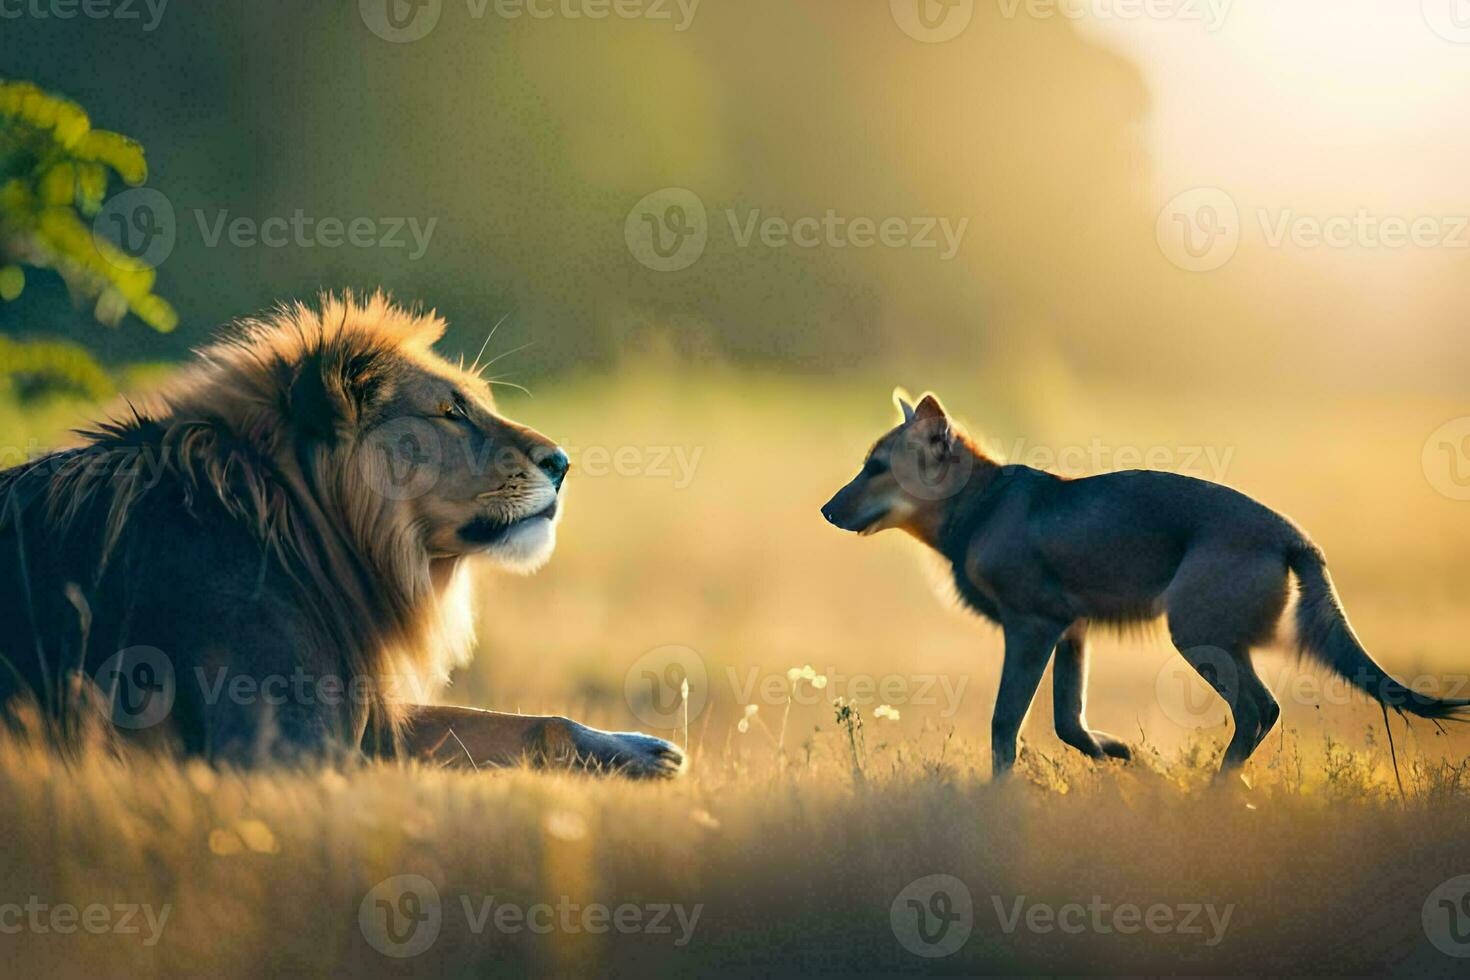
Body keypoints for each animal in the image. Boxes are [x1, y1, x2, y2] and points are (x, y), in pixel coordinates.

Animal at [0, 295, 685, 775]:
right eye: (452, 412)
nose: (563, 463)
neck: (305, 535)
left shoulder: (374, 716)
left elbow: (534, 724)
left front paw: (648, 755)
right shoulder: (275, 753)